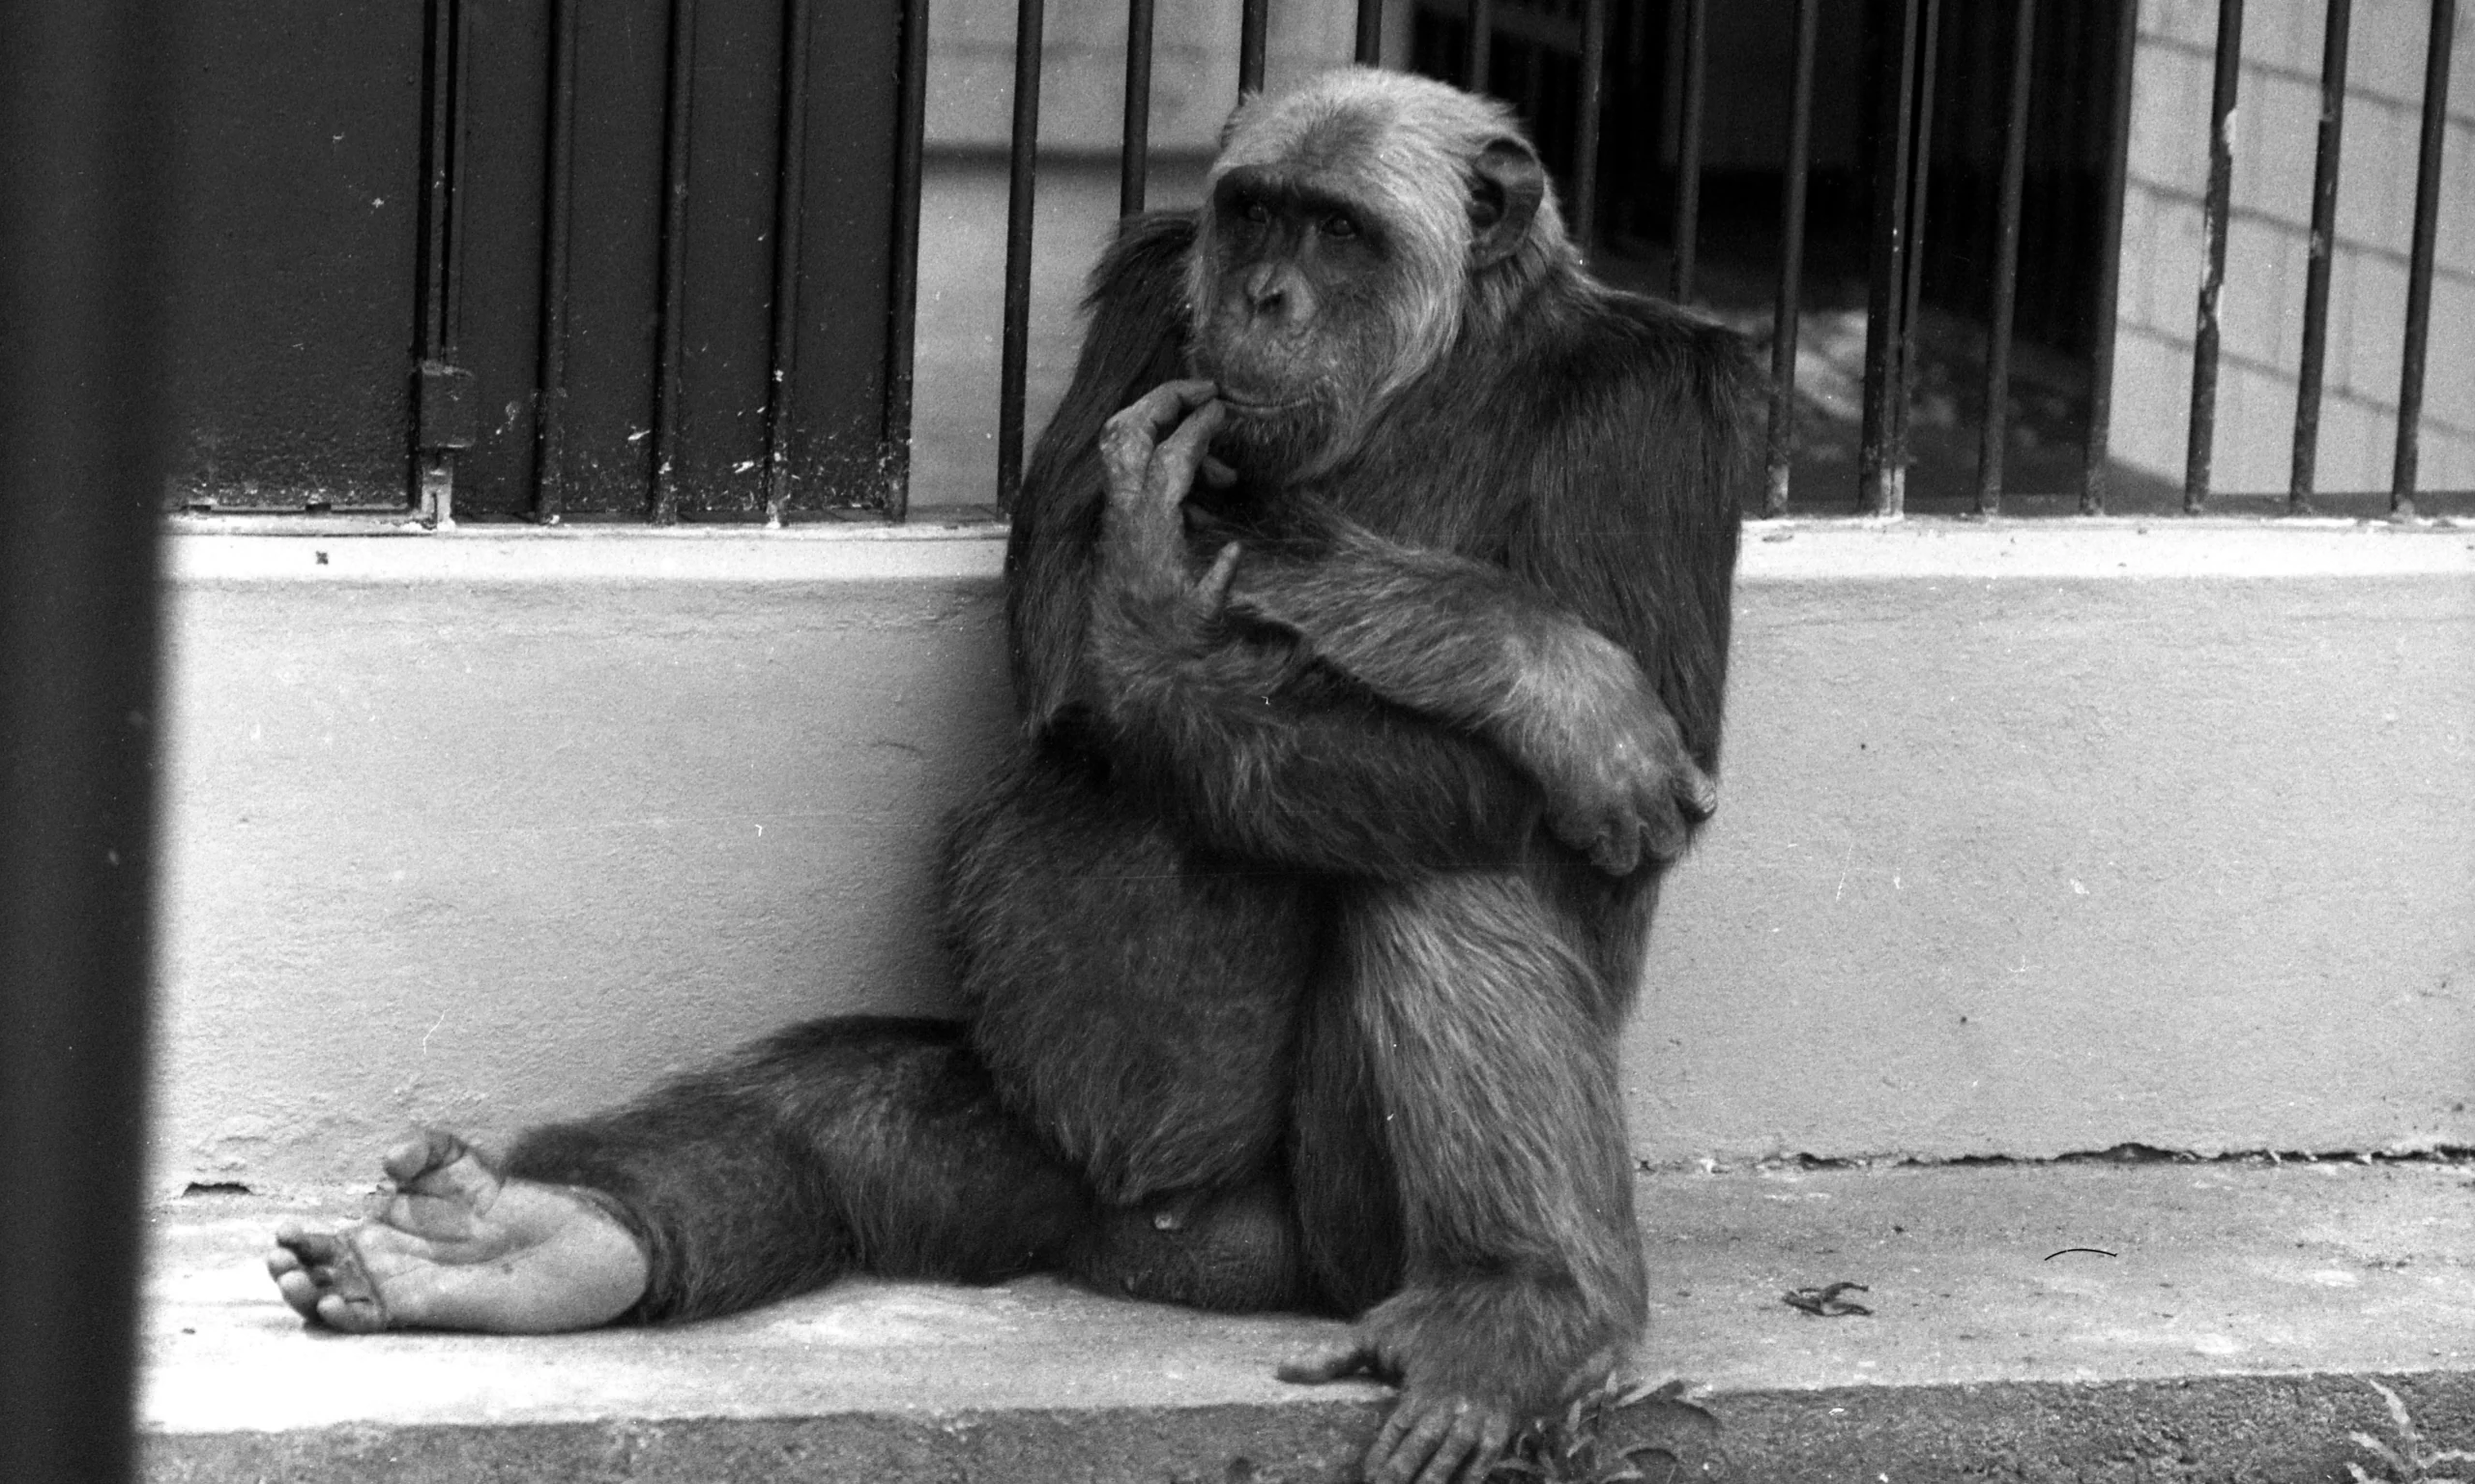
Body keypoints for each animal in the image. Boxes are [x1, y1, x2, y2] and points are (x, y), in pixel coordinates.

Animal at [267, 69, 1754, 1484]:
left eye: (1341, 230)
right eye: (1257, 213)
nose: (1265, 293)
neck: (1443, 364)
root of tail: (1168, 1244)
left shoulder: (1656, 417)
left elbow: (1616, 732)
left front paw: (1543, 675)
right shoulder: (1150, 296)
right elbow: (1057, 631)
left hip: (1338, 1241)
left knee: (1454, 865)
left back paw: (1520, 1304)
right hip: (1017, 1151)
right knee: (824, 1112)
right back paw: (519, 1238)